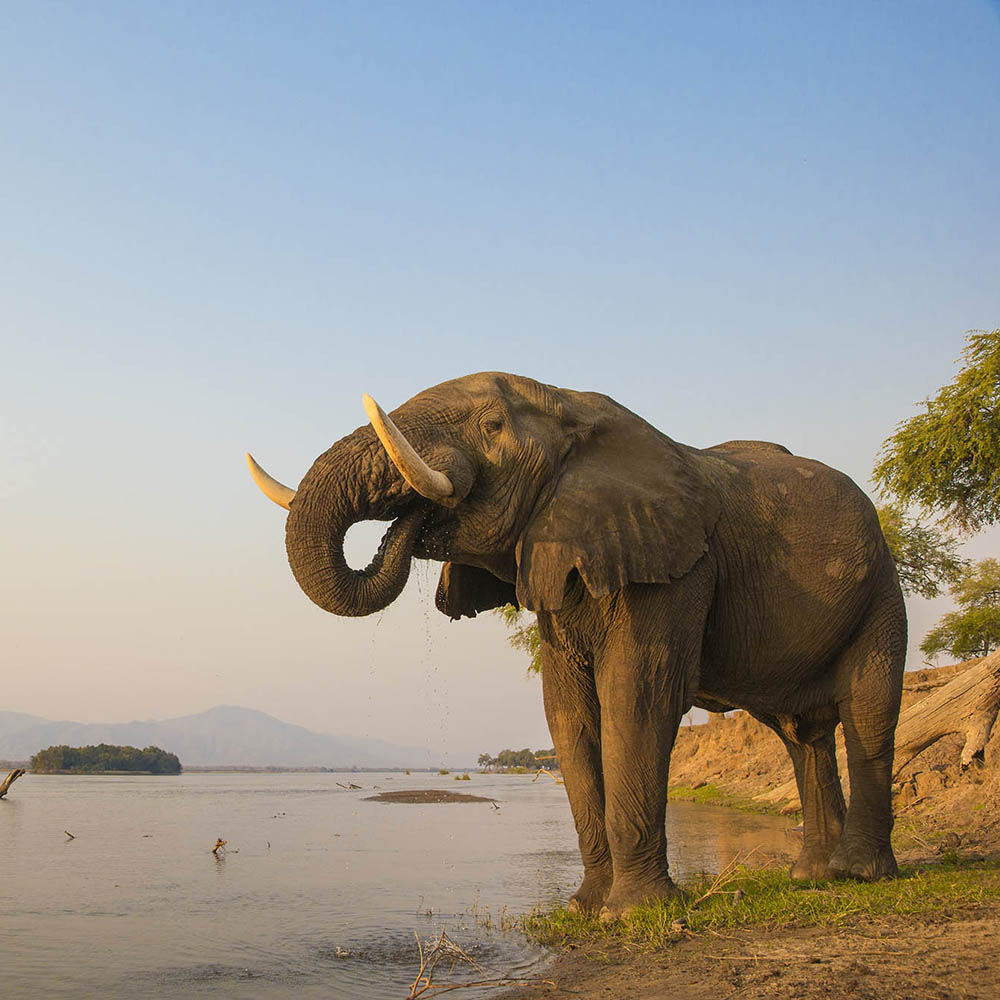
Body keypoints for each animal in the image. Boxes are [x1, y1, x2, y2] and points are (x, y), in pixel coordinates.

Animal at [248, 372, 908, 916]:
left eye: (491, 426)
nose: (412, 521)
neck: (572, 408)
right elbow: (568, 714)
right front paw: (585, 909)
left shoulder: (674, 568)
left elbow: (635, 700)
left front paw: (634, 914)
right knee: (801, 734)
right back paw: (812, 878)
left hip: (882, 587)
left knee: (868, 712)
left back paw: (859, 874)